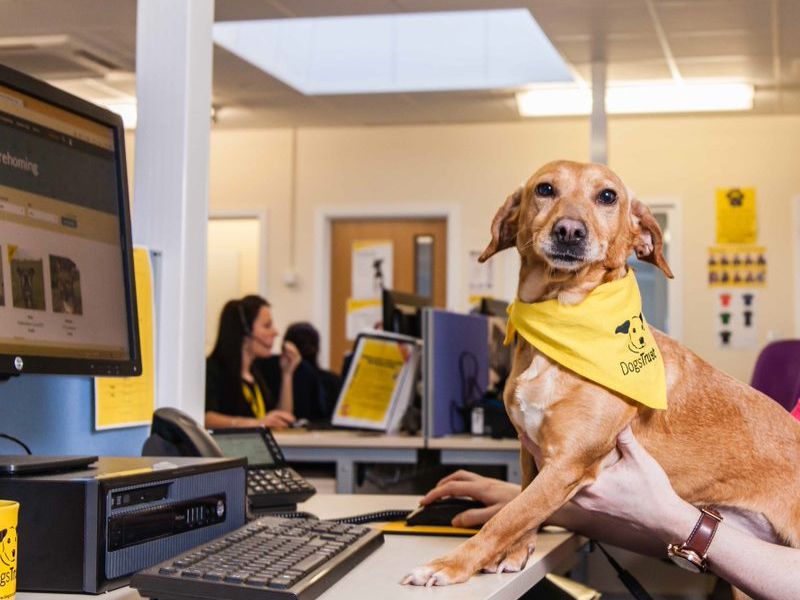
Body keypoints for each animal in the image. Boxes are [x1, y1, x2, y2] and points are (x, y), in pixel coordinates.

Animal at [406, 161, 800, 592]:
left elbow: (505, 516)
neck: (561, 319)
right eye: (545, 189)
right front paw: (516, 552)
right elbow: (523, 505)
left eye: (607, 196)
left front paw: (452, 563)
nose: (569, 231)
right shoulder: (532, 452)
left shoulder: (568, 463)